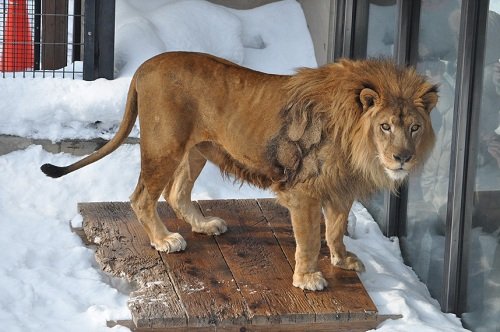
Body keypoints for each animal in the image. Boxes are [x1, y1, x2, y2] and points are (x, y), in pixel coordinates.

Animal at [41, 52, 436, 290]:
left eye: (414, 127)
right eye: (385, 126)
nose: (402, 157)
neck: (358, 145)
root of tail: (145, 65)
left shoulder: (341, 189)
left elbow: (336, 230)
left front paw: (343, 259)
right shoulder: (304, 191)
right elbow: (309, 239)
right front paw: (308, 277)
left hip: (196, 150)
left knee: (176, 193)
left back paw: (204, 225)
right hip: (164, 146)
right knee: (142, 197)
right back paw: (165, 240)